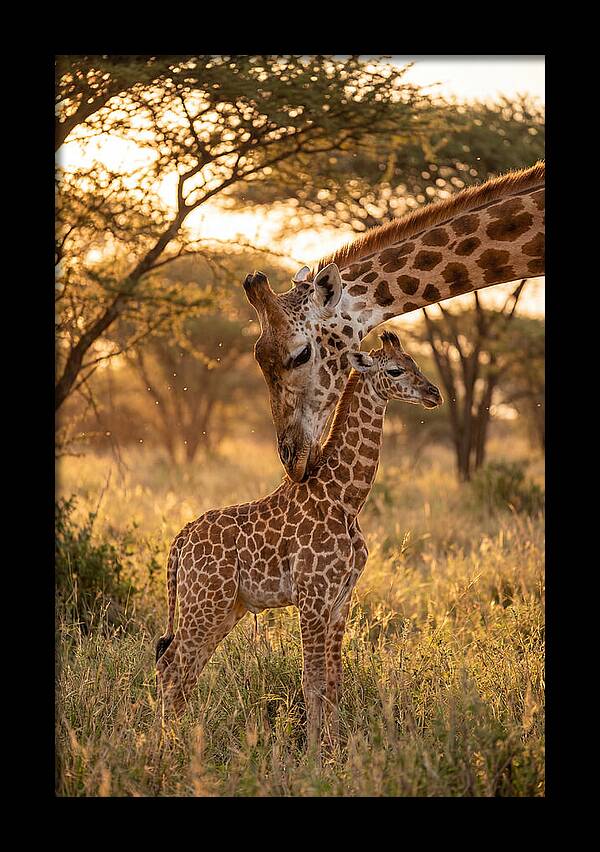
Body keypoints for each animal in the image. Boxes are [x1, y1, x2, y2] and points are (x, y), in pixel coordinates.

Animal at [155, 331, 442, 751]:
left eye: (415, 362)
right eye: (395, 370)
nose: (434, 393)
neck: (345, 497)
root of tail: (179, 542)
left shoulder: (341, 600)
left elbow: (335, 682)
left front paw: (336, 749)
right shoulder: (312, 596)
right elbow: (312, 681)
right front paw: (312, 754)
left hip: (225, 608)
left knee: (184, 668)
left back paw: (181, 741)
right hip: (204, 602)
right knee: (171, 665)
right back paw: (165, 747)